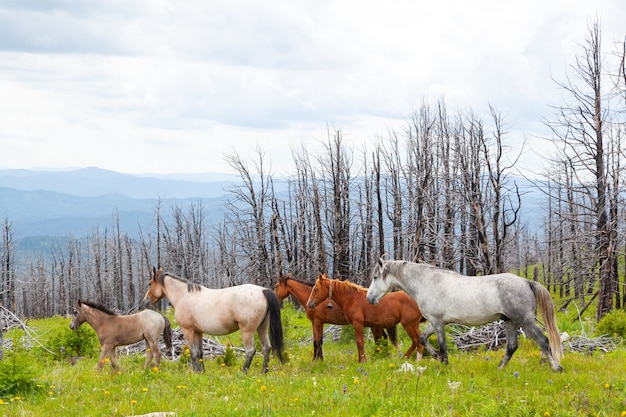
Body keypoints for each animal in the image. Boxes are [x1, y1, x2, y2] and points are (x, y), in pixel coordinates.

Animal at [143, 268, 284, 372]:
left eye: (149, 283)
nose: (145, 301)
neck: (183, 295)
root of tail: (263, 290)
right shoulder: (198, 332)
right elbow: (199, 353)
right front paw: (202, 371)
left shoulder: (188, 330)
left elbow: (193, 352)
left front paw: (196, 372)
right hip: (262, 327)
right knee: (266, 348)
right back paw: (263, 371)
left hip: (247, 331)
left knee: (250, 350)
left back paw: (243, 371)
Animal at [364, 256, 564, 370]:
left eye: (375, 276)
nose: (369, 298)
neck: (428, 283)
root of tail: (526, 281)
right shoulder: (436, 322)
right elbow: (423, 339)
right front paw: (437, 357)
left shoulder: (437, 321)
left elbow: (442, 345)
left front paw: (444, 365)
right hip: (510, 322)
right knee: (511, 347)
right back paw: (499, 368)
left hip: (525, 321)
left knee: (543, 341)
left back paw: (556, 368)